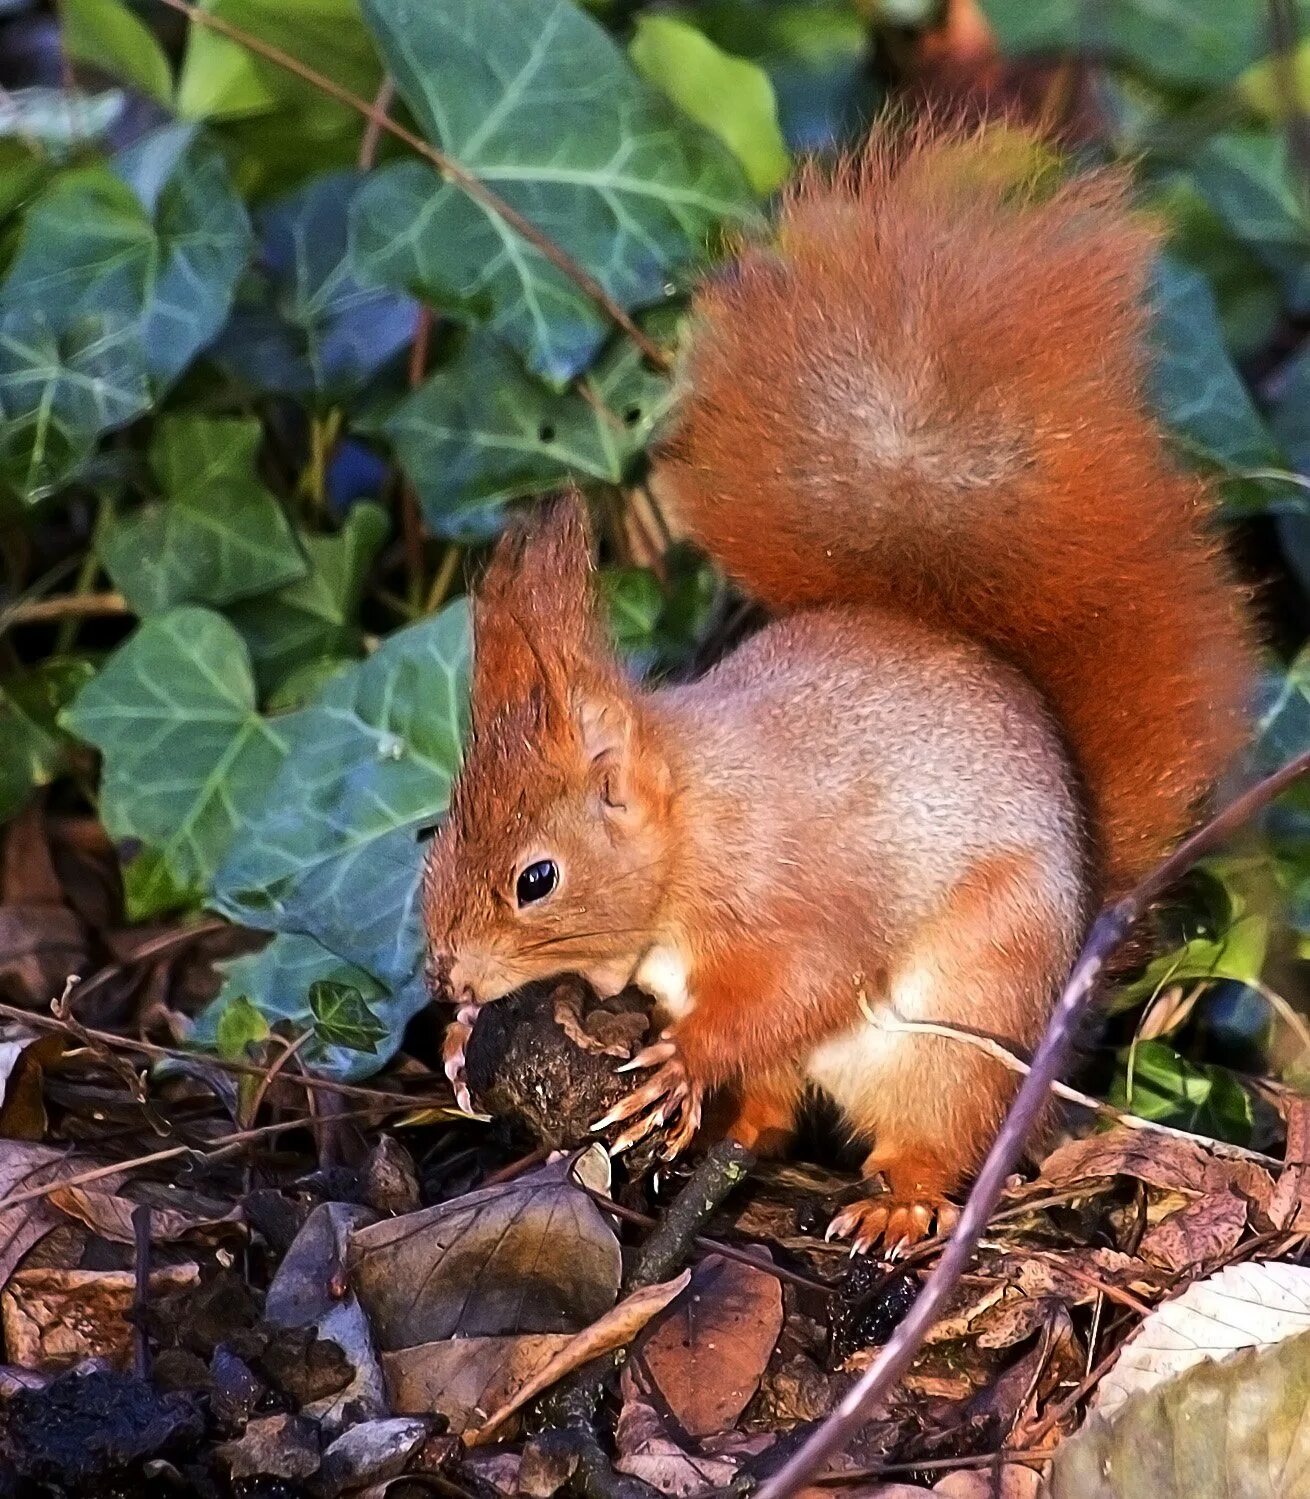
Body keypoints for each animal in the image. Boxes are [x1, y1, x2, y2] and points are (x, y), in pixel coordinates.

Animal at [422, 122, 1253, 1247]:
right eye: (437, 828)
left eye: (536, 878)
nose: (444, 970)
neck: (694, 827)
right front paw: (464, 1031)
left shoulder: (795, 894)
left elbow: (803, 977)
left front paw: (681, 1053)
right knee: (774, 1108)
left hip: (953, 1036)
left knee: (930, 1134)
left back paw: (892, 1203)